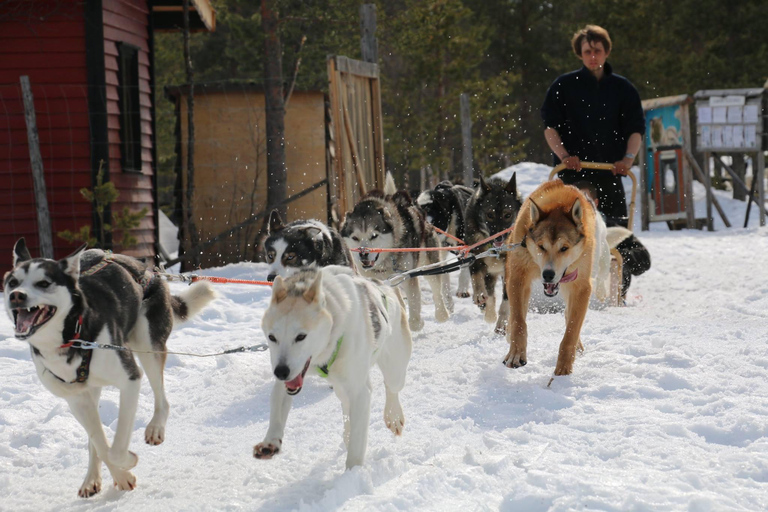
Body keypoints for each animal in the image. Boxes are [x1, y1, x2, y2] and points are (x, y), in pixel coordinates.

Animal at [3, 239, 216, 496]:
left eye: (43, 283)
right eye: (12, 282)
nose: (16, 296)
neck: (72, 337)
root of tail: (147, 269)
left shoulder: (130, 379)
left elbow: (115, 448)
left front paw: (128, 461)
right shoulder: (76, 399)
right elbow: (100, 443)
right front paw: (122, 476)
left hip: (148, 344)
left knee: (162, 399)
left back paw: (155, 427)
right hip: (91, 391)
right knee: (94, 440)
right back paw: (91, 479)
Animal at [254, 266, 412, 470]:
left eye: (301, 336)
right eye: (272, 337)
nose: (280, 372)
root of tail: (387, 285)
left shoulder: (360, 392)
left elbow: (357, 446)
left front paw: (353, 474)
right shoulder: (286, 380)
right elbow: (277, 412)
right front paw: (271, 442)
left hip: (394, 370)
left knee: (391, 387)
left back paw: (393, 416)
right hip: (341, 386)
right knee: (346, 405)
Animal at [504, 181, 600, 376]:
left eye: (564, 248)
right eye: (542, 246)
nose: (548, 274)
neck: (559, 205)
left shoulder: (581, 287)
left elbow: (571, 331)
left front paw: (564, 368)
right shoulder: (518, 278)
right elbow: (518, 321)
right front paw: (516, 353)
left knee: (569, 315)